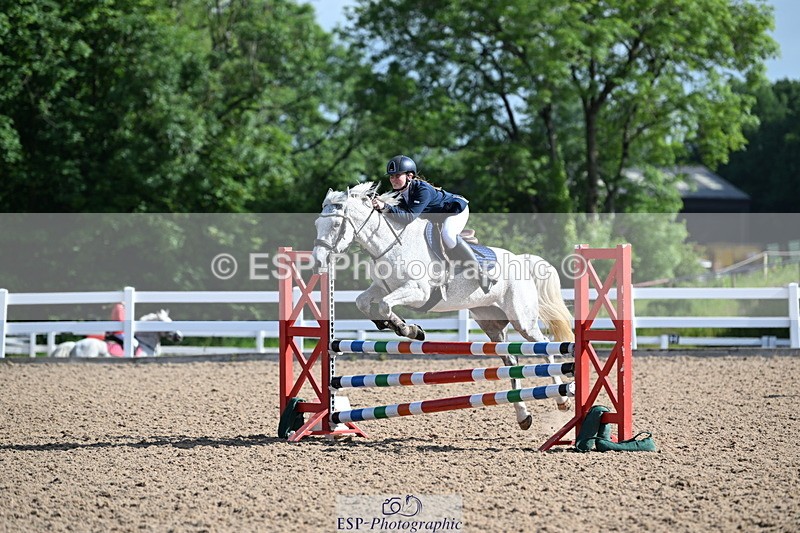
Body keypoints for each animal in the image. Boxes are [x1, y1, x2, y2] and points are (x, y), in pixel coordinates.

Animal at [311, 182, 575, 430]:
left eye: (335, 225)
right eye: (316, 223)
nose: (318, 261)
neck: (391, 244)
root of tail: (521, 259)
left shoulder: (418, 291)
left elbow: (385, 305)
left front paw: (409, 330)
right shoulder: (381, 287)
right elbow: (364, 302)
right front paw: (392, 324)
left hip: (523, 320)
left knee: (545, 349)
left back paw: (562, 401)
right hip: (491, 323)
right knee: (511, 362)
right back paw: (523, 416)